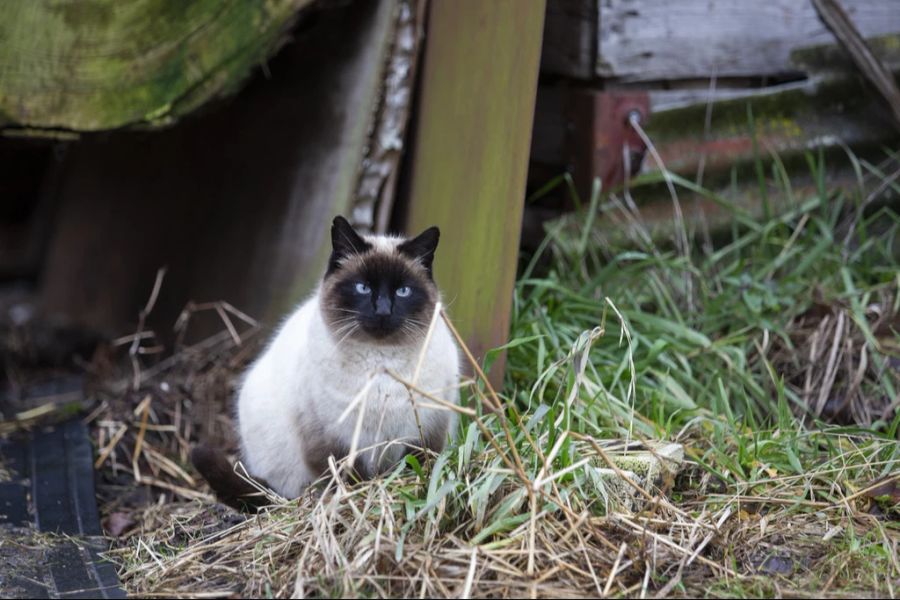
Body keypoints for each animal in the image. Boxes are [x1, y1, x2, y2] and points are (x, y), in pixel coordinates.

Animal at [190, 216, 458, 506]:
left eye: (403, 291)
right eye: (362, 288)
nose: (383, 311)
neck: (380, 364)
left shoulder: (425, 433)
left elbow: (417, 466)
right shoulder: (332, 438)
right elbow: (348, 478)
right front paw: (355, 498)